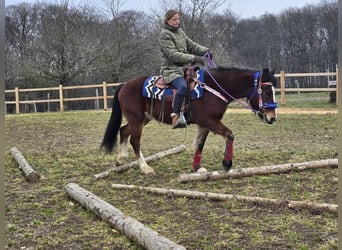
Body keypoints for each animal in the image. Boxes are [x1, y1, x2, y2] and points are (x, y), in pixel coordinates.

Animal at [100, 61, 276, 174]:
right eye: (267, 92)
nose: (272, 118)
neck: (213, 88)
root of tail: (125, 85)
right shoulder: (208, 120)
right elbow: (229, 134)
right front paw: (227, 163)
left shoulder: (205, 124)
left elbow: (200, 144)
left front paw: (197, 167)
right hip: (136, 118)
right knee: (135, 140)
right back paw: (144, 168)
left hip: (143, 118)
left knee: (123, 130)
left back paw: (121, 159)